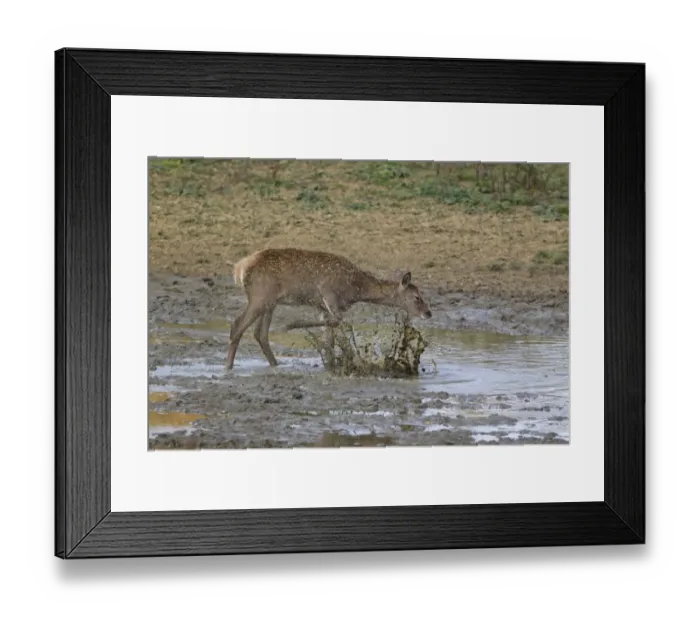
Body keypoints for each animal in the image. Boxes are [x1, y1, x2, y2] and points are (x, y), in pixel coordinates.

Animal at [225, 248, 432, 370]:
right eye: (417, 297)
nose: (428, 313)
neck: (356, 289)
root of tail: (239, 268)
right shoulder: (328, 293)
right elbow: (338, 322)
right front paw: (291, 324)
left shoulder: (322, 305)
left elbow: (330, 335)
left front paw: (331, 364)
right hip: (260, 297)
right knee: (237, 325)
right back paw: (228, 368)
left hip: (270, 302)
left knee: (259, 333)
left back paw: (275, 365)